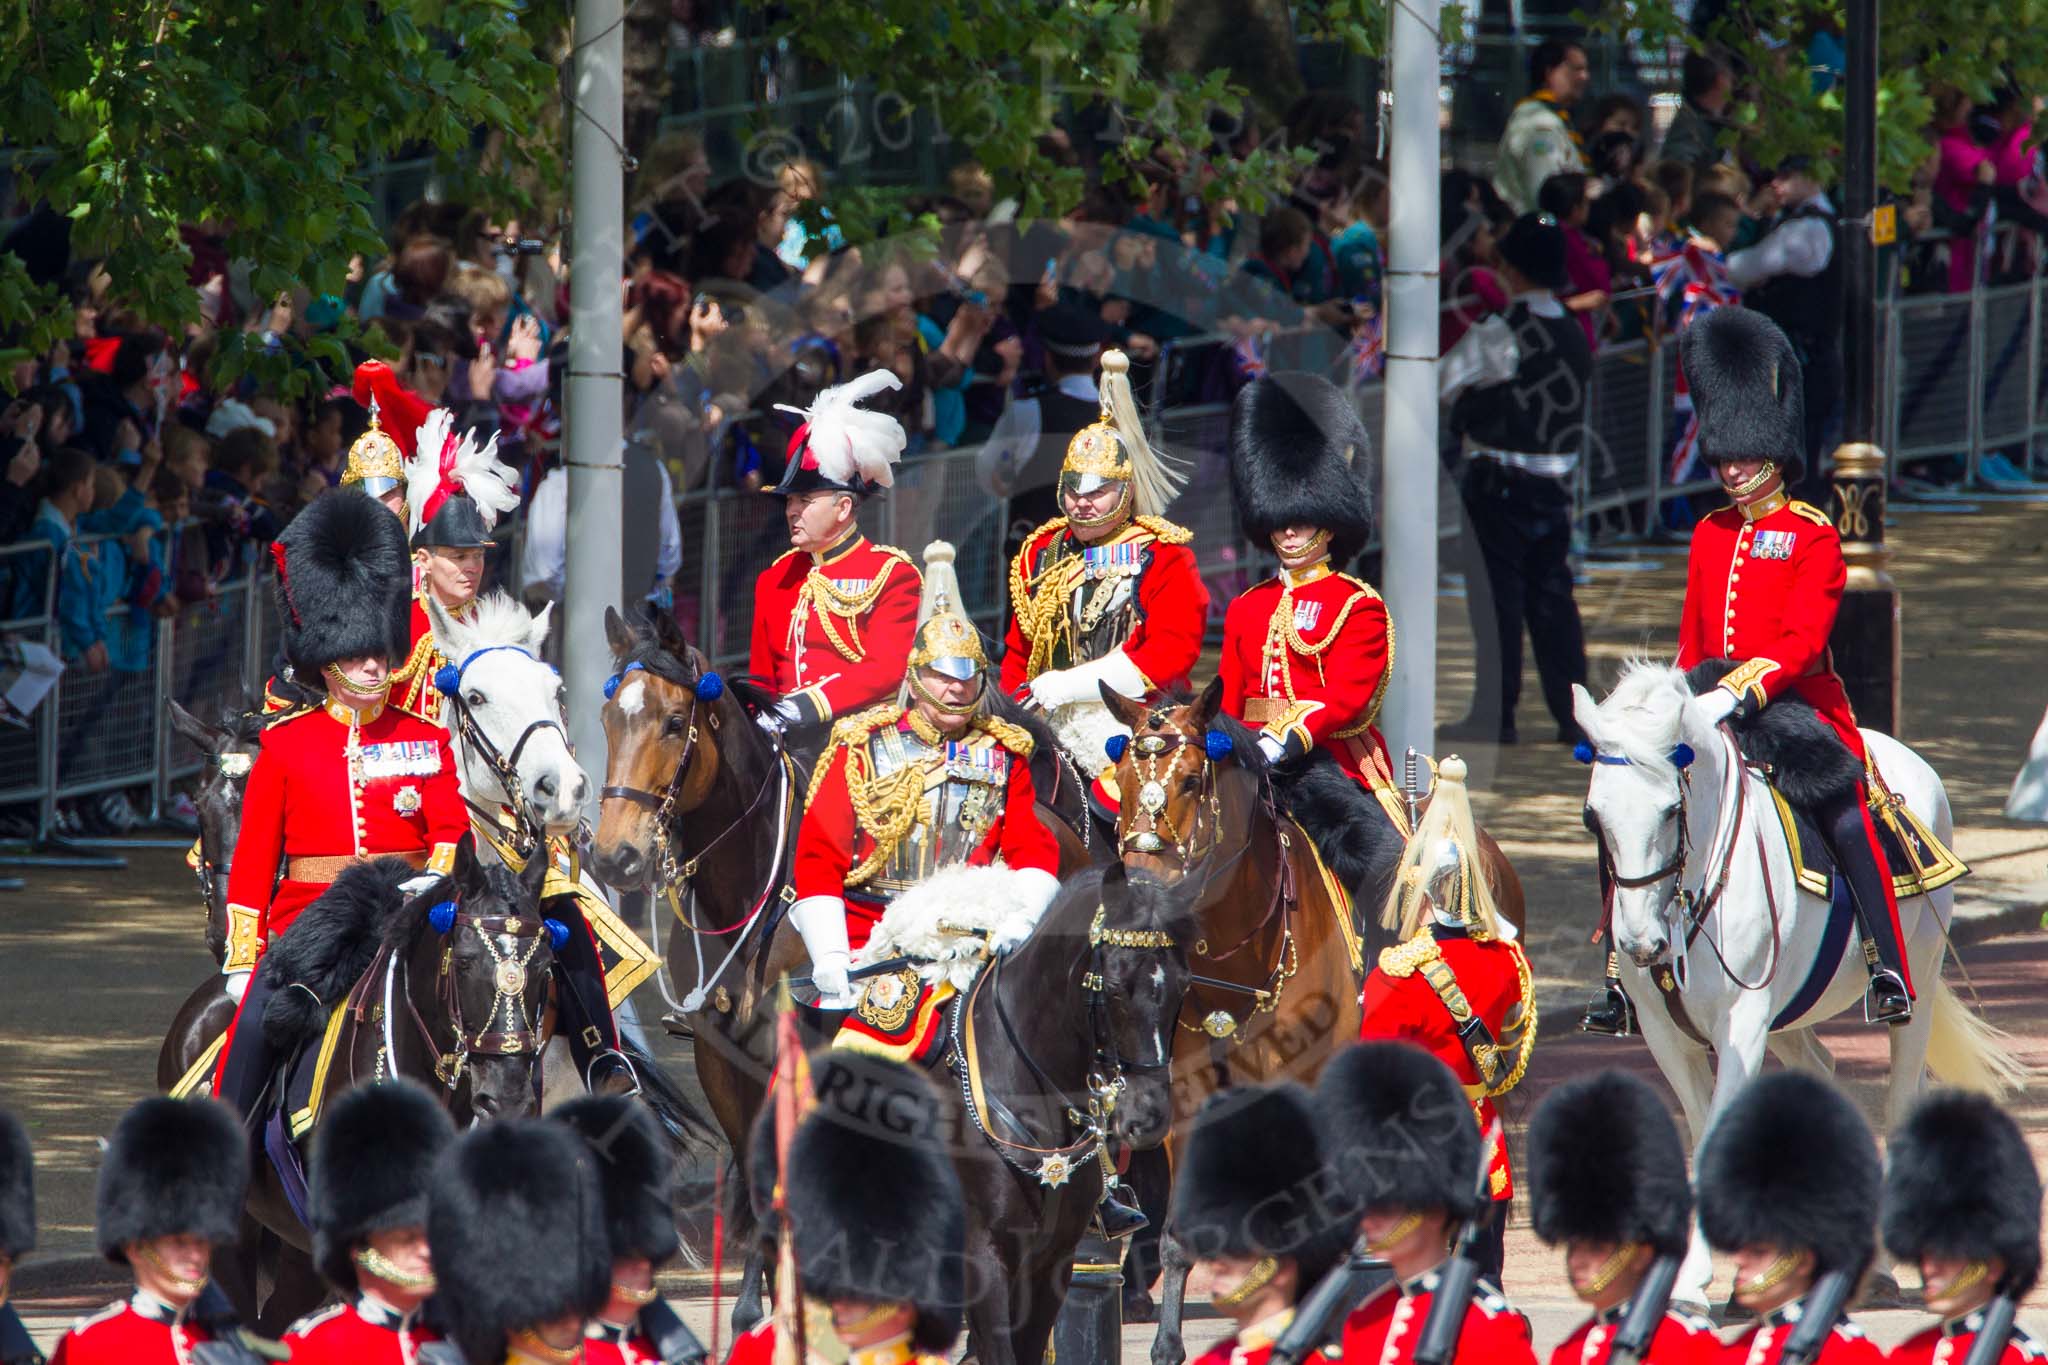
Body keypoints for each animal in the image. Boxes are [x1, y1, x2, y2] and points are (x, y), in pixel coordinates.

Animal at [1105, 679, 1523, 1358]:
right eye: (1119, 778)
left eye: (1191, 780)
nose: (1137, 895)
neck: (1242, 949)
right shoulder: (1192, 1098)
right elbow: (1182, 1230)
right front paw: (1168, 1344)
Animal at [1572, 667, 2023, 1309]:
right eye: (1594, 818)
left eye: (1668, 810)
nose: (1639, 943)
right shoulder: (1668, 1034)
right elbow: (1701, 1128)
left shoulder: (1742, 1023)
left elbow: (1717, 1135)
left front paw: (1694, 1278)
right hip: (1789, 1016)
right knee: (1821, 1072)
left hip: (1918, 980)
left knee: (1900, 1097)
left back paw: (1879, 1263)